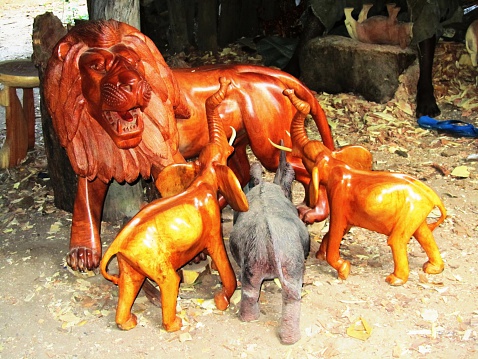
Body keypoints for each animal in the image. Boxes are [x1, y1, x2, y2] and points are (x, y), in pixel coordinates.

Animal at [102, 78, 248, 332]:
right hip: (152, 259)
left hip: (130, 264)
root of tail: (117, 245)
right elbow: (219, 252)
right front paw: (222, 301)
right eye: (227, 153)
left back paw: (128, 323)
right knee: (171, 280)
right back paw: (175, 324)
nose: (225, 81)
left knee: (129, 285)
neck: (202, 178)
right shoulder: (211, 221)